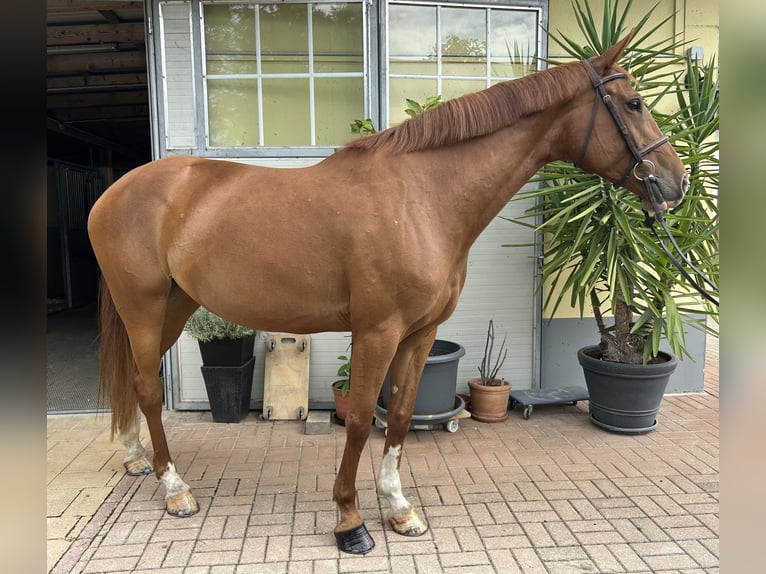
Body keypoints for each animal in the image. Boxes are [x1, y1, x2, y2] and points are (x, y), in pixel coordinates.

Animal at [87, 32, 688, 555]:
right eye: (633, 103)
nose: (676, 183)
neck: (422, 198)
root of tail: (114, 194)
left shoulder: (421, 334)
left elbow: (398, 415)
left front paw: (398, 508)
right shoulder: (377, 331)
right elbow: (358, 420)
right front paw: (350, 520)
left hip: (176, 304)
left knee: (140, 381)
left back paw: (138, 460)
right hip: (142, 306)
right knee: (148, 389)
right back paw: (175, 489)